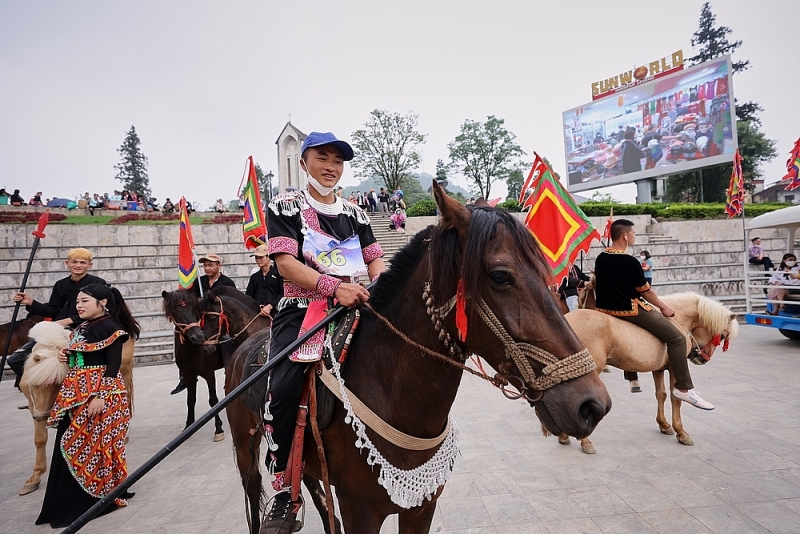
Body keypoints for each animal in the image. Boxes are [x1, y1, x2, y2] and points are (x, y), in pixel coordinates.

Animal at [17, 318, 135, 498]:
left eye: (57, 385)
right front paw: (34, 478)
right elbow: (40, 439)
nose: (42, 416)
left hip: (124, 371)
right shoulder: (33, 406)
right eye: (35, 385)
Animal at [161, 292, 225, 442]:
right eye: (175, 312)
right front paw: (188, 427)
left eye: (194, 309)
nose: (198, 337)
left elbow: (213, 400)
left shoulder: (209, 373)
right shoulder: (189, 374)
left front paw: (219, 429)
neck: (192, 350)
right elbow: (190, 400)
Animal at [225, 181, 612, 534]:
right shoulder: (359, 510)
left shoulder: (421, 506)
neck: (392, 392)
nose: (592, 405)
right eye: (501, 276)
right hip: (246, 446)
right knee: (255, 489)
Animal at [556, 294, 736, 456]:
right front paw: (681, 432)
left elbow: (661, 394)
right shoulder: (674, 366)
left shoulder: (658, 369)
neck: (678, 318)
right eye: (722, 336)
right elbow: (676, 399)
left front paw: (664, 425)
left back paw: (564, 436)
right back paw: (585, 441)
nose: (702, 358)